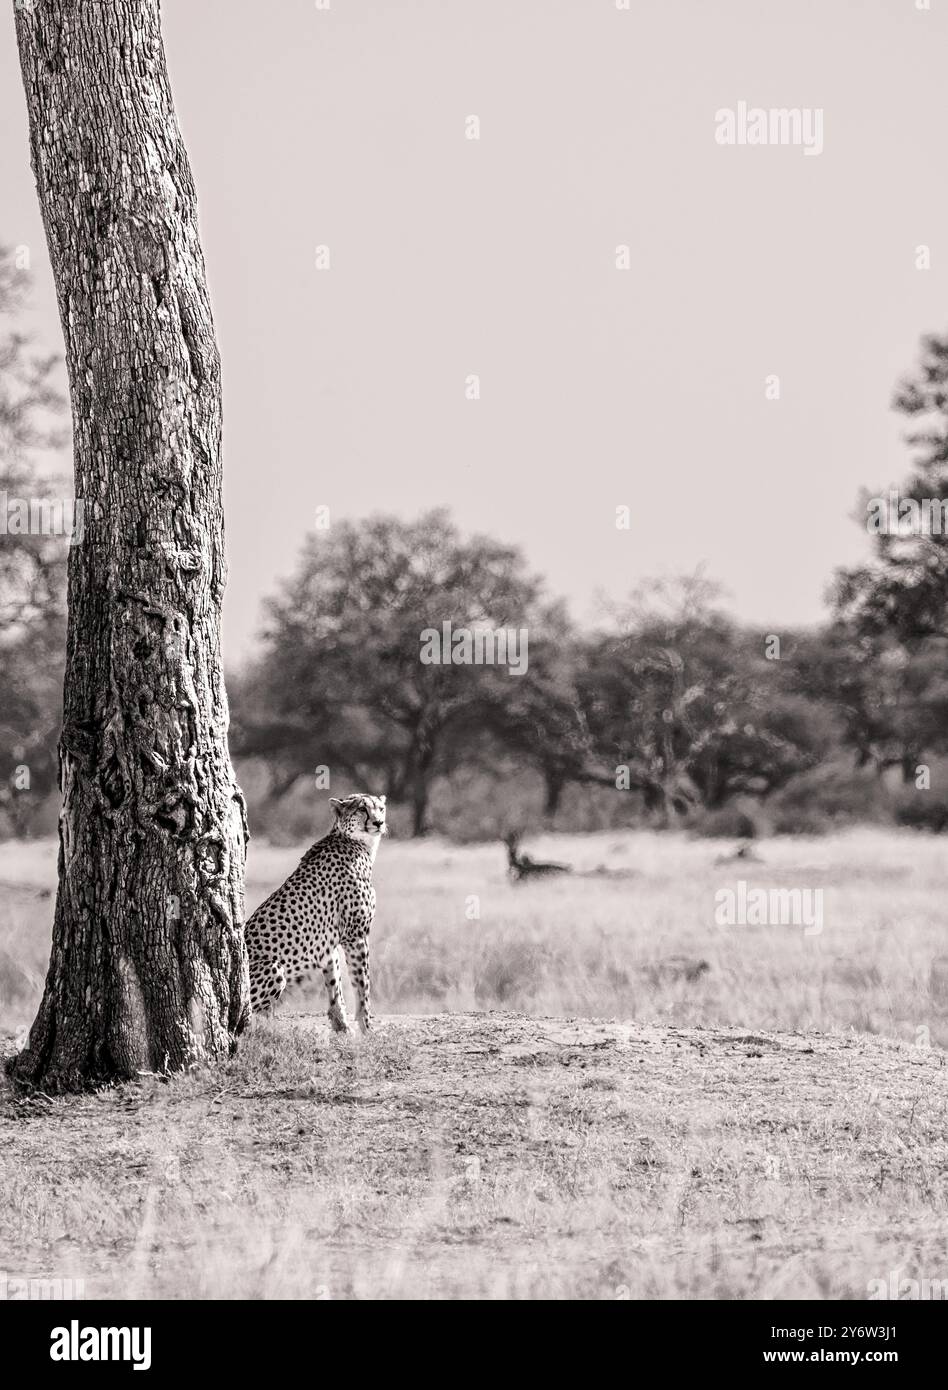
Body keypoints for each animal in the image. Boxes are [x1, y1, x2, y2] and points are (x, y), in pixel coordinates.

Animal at [245, 793, 386, 1033]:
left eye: (381, 808)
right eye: (362, 809)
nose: (378, 822)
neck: (354, 841)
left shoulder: (330, 942)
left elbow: (335, 985)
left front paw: (342, 1028)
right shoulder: (356, 936)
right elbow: (362, 988)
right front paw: (368, 1030)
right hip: (274, 967)